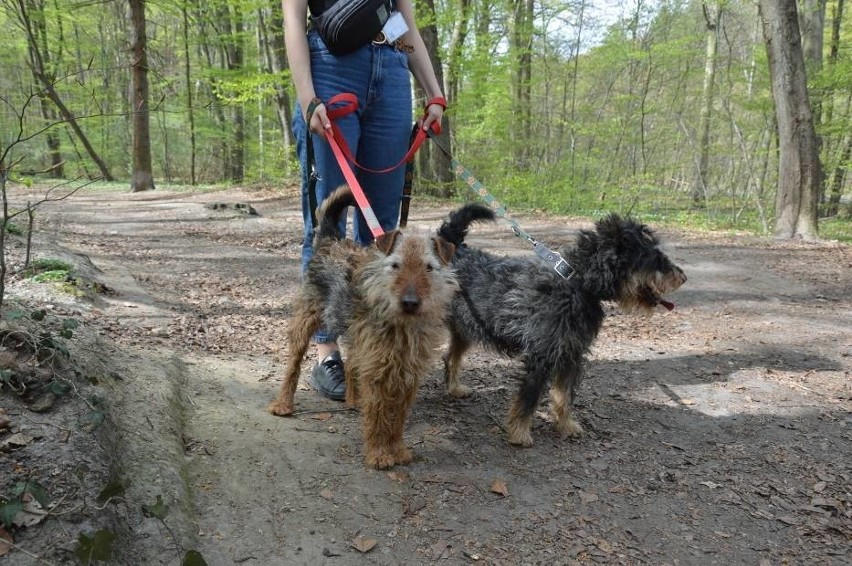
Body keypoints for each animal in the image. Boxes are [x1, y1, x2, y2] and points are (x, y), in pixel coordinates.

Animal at [436, 213, 688, 448]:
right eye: (654, 258)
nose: (683, 277)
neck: (575, 284)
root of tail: (456, 250)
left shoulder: (571, 355)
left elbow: (563, 396)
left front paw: (565, 425)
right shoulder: (541, 357)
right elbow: (529, 398)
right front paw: (519, 433)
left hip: (465, 330)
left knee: (451, 357)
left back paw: (454, 388)